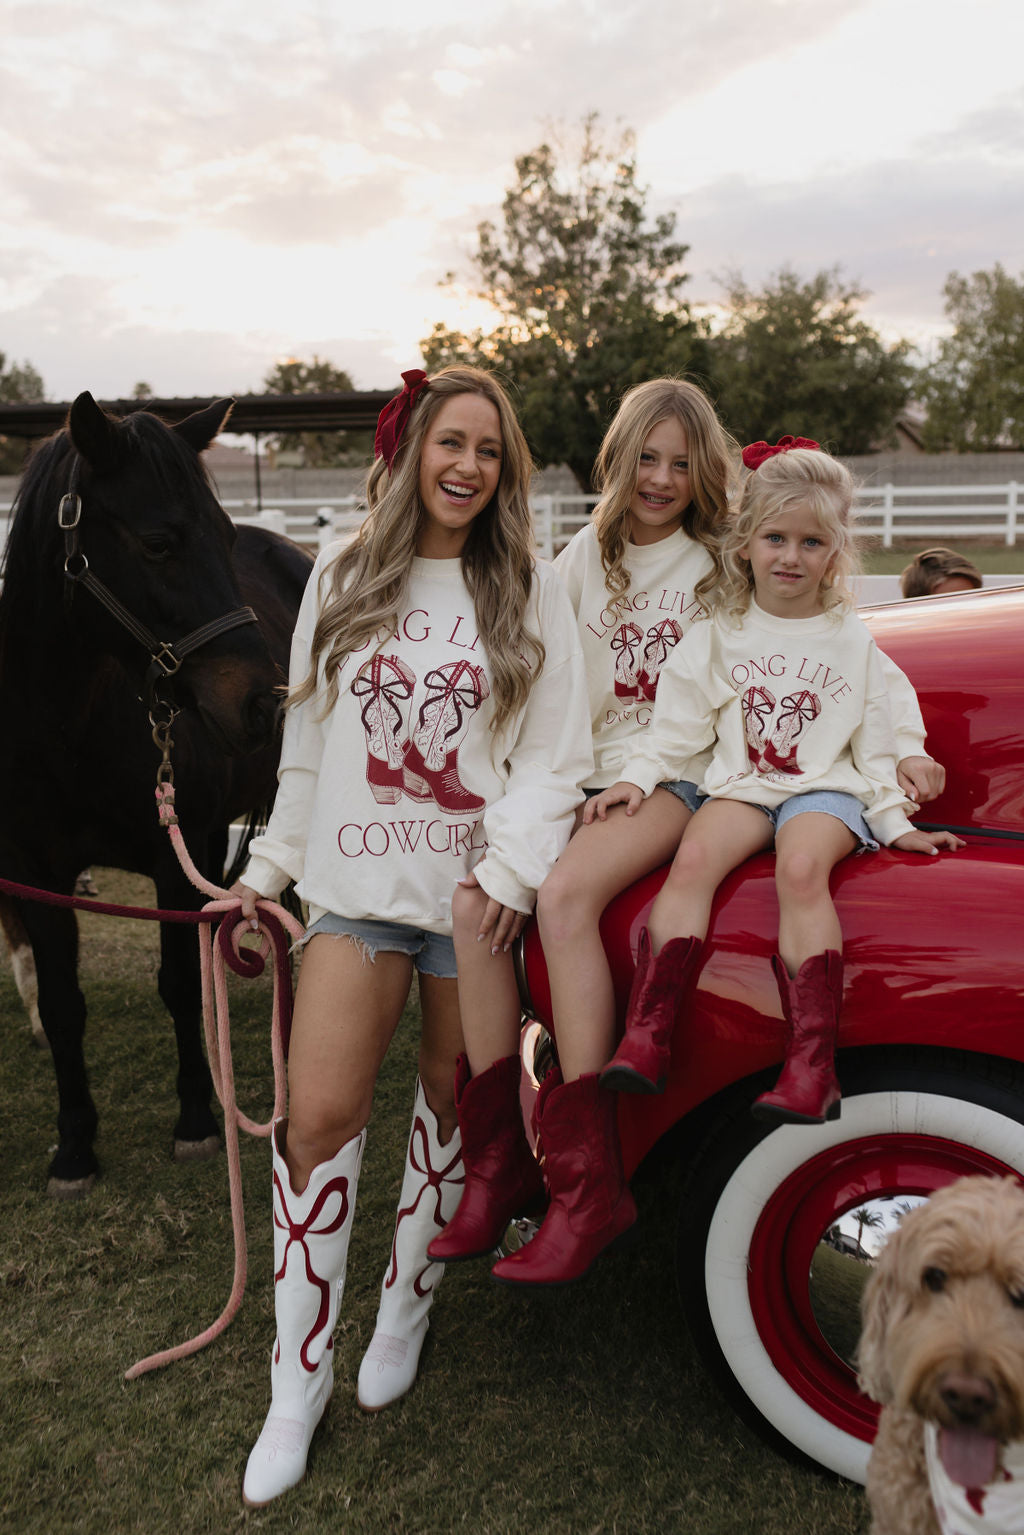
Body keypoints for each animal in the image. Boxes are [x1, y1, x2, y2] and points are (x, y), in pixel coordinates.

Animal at [1, 389, 313, 1191]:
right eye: (159, 542)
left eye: (224, 535)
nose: (265, 704)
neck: (68, 729)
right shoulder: (36, 872)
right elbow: (62, 1002)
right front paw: (75, 1147)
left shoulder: (177, 856)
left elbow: (177, 983)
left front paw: (198, 1119)